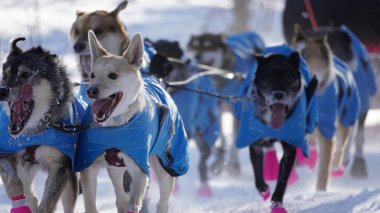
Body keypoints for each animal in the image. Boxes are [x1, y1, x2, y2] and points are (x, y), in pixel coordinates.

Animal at [0, 39, 78, 212]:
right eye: (5, 76)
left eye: (25, 75)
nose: (1, 91)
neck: (33, 132)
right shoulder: (4, 155)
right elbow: (14, 183)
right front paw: (20, 205)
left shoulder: (60, 165)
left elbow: (47, 202)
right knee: (28, 191)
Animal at [73, 31, 189, 213]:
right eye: (92, 75)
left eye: (113, 75)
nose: (90, 91)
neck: (114, 126)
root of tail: (154, 79)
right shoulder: (88, 165)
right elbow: (91, 204)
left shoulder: (140, 169)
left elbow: (133, 202)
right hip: (115, 169)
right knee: (120, 198)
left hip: (166, 166)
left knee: (162, 202)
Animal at [187, 32, 264, 176]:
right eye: (195, 46)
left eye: (209, 46)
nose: (197, 56)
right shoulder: (218, 109)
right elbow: (222, 137)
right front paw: (219, 162)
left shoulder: (236, 113)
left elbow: (233, 141)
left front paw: (233, 164)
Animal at [235, 45, 318, 212]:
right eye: (268, 80)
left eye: (289, 80)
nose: (279, 94)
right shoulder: (255, 143)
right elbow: (257, 170)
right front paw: (263, 189)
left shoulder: (290, 147)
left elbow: (283, 178)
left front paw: (277, 201)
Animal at [292, 25, 360, 191]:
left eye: (306, 56)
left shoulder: (327, 128)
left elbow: (324, 167)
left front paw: (320, 191)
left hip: (346, 116)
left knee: (341, 145)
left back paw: (336, 166)